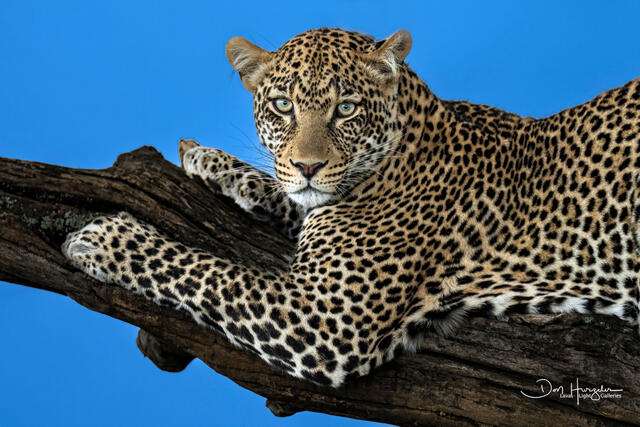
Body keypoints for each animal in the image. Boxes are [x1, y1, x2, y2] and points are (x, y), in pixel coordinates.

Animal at [63, 27, 640, 387]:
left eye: (345, 110)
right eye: (282, 106)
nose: (308, 165)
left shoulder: (325, 316)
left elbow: (208, 271)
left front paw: (108, 239)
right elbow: (284, 197)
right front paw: (210, 160)